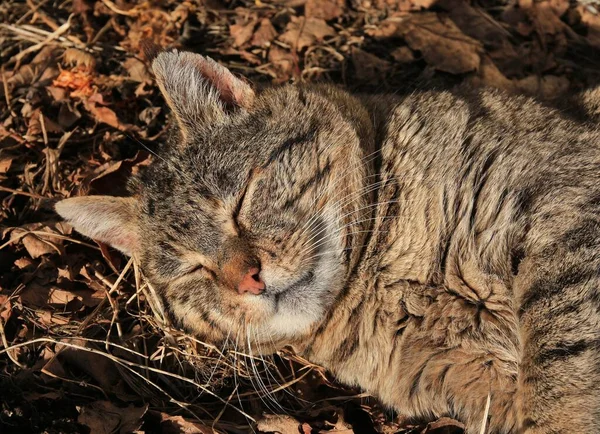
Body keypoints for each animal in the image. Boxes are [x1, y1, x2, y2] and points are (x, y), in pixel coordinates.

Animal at [55, 49, 600, 432]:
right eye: (195, 269)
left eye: (240, 202)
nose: (249, 281)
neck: (380, 281)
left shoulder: (565, 209)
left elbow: (562, 374)